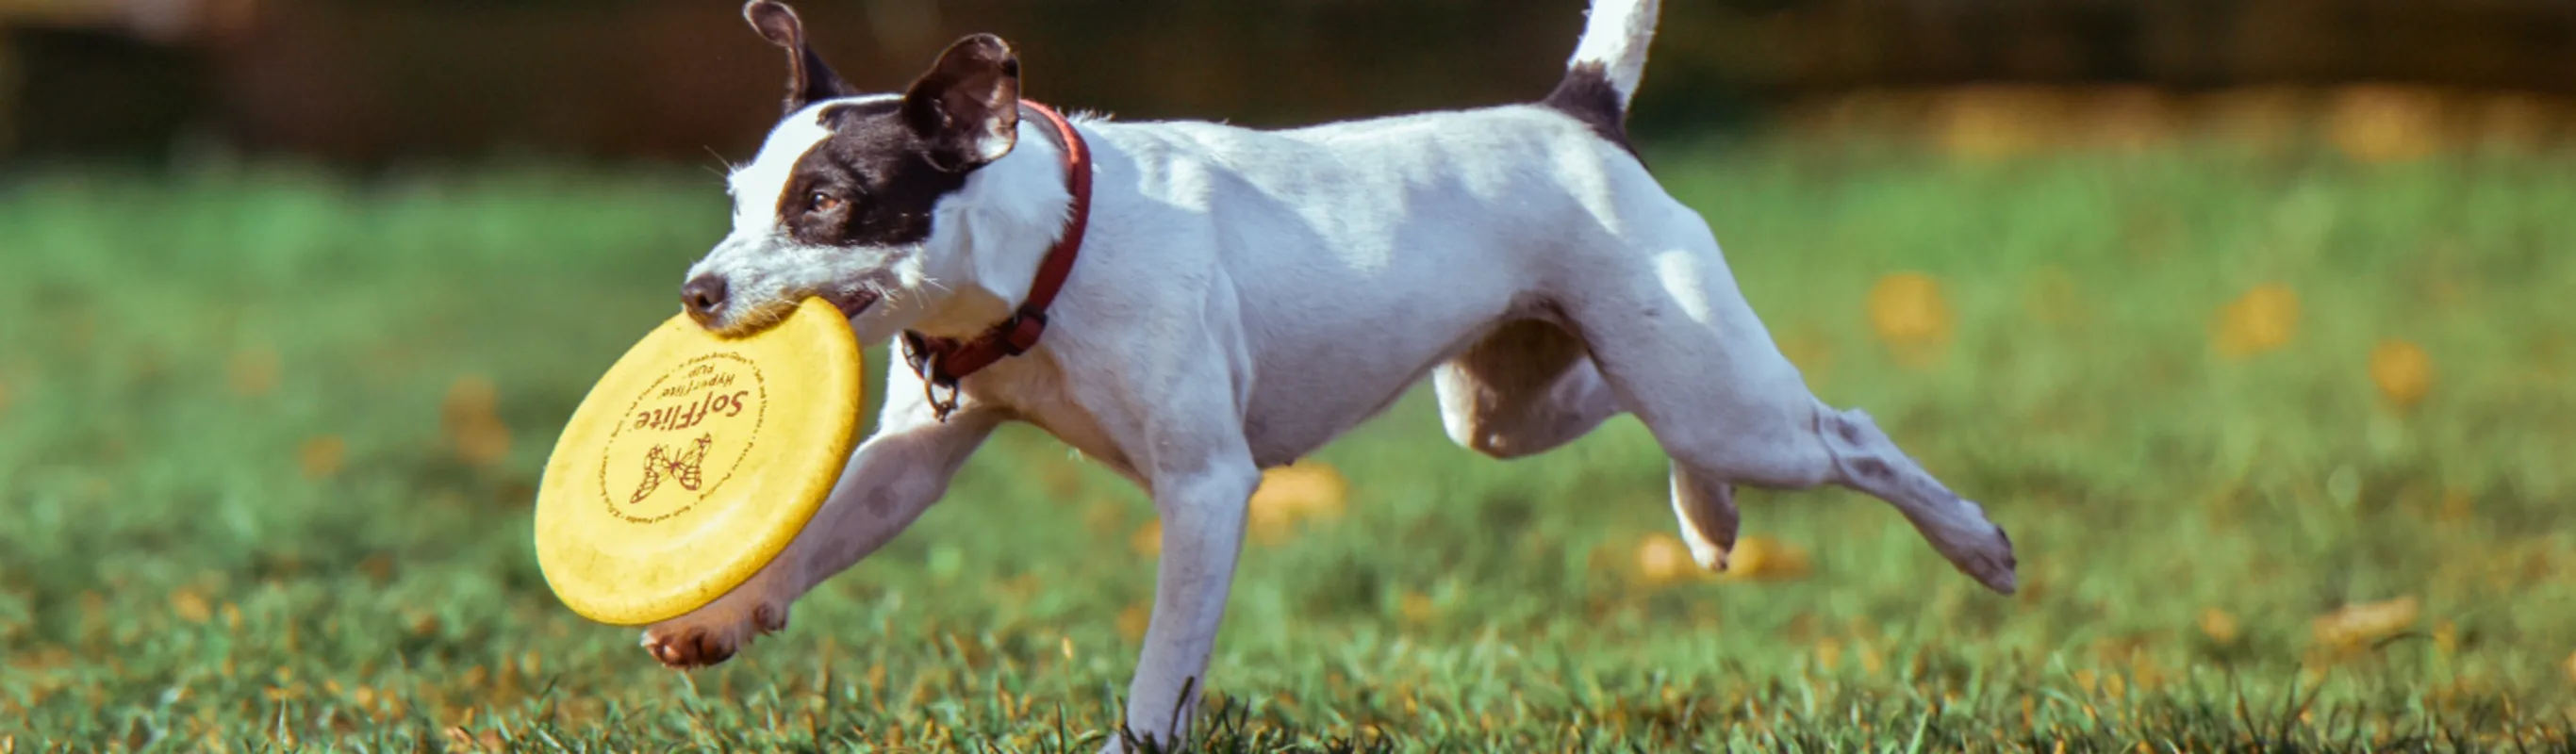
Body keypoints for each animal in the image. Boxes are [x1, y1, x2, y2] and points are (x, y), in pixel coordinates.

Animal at [644, 0, 2008, 741]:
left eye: (826, 202)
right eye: (738, 197)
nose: (695, 293)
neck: (1046, 259)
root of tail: (1575, 114)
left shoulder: (1205, 489)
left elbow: (1163, 669)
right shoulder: (911, 455)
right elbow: (820, 530)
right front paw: (720, 615)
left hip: (1718, 396)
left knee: (1843, 434)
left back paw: (1975, 542)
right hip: (1512, 400)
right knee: (1630, 410)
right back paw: (1707, 517)